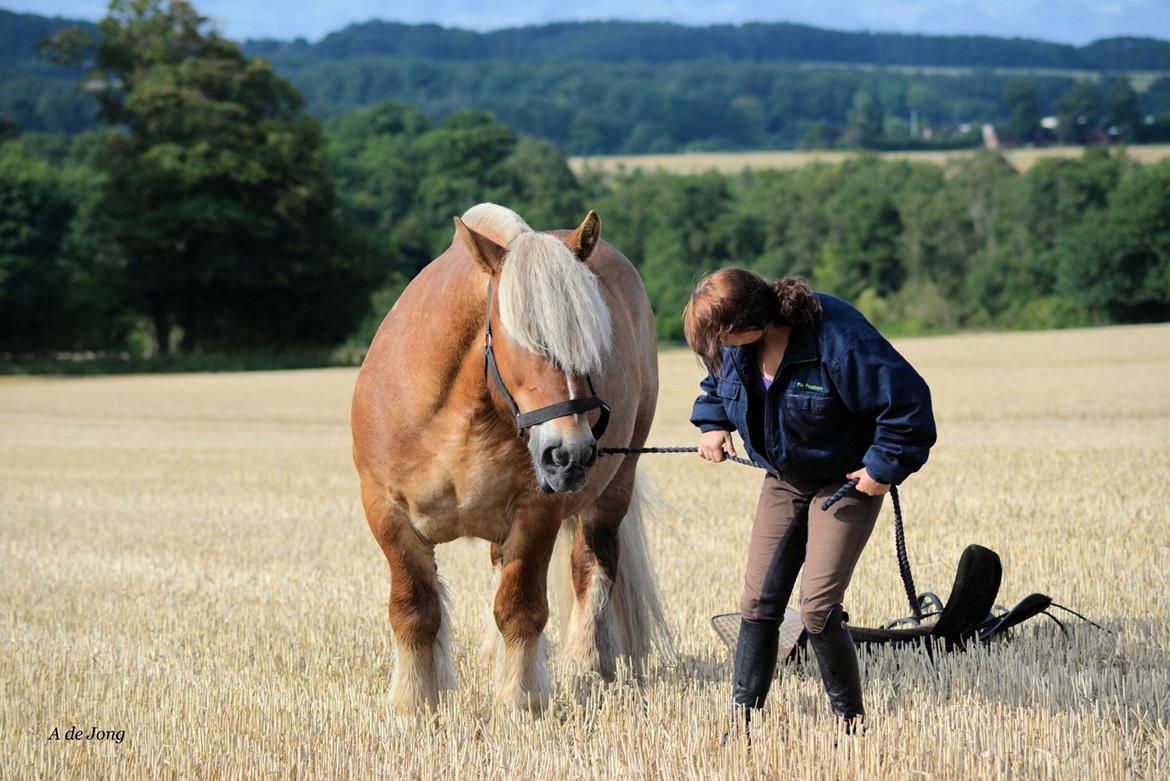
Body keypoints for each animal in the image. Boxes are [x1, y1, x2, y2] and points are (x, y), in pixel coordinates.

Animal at [348, 203, 669, 715]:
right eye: (520, 338)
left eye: (592, 345)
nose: (569, 454)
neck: (455, 416)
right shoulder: (386, 512)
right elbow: (414, 609)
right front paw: (413, 704)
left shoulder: (537, 515)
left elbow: (521, 608)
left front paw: (519, 703)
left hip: (613, 492)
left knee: (593, 570)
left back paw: (590, 667)